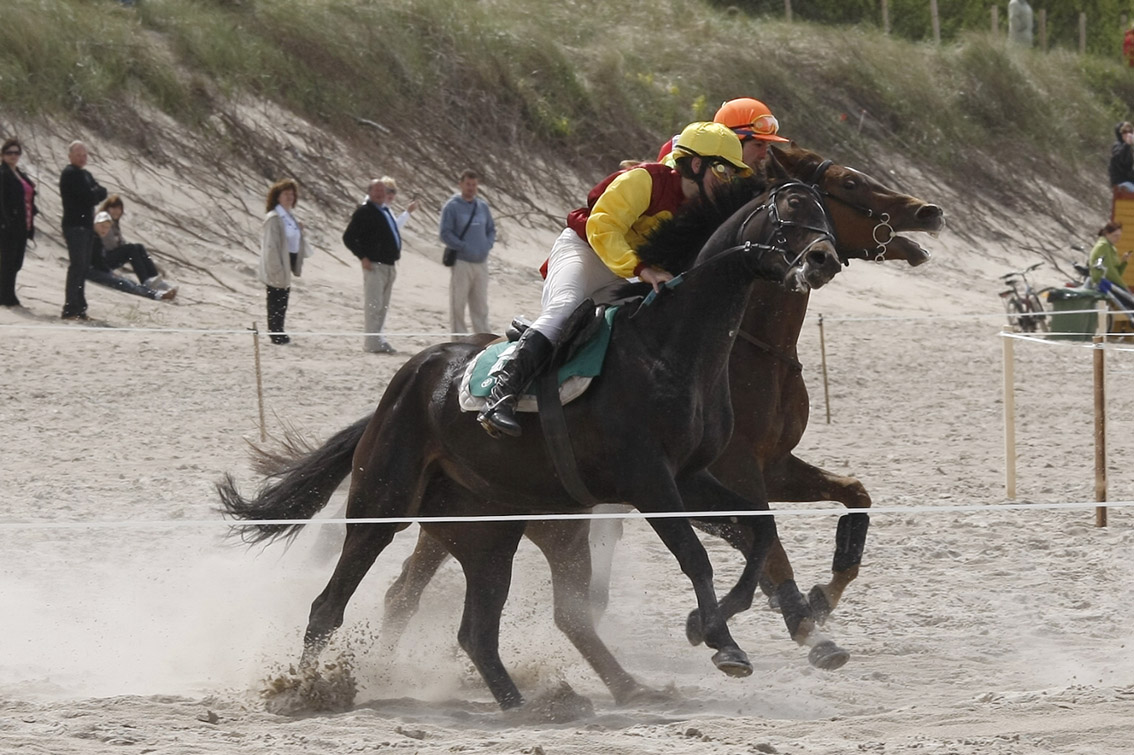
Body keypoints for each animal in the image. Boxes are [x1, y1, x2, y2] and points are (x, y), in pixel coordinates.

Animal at [218, 179, 843, 707]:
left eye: (827, 210)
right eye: (792, 208)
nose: (825, 259)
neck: (673, 344)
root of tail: (399, 390)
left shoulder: (691, 478)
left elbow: (760, 530)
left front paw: (715, 627)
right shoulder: (650, 482)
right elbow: (696, 555)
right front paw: (721, 641)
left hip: (495, 530)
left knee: (493, 625)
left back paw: (559, 698)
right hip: (383, 504)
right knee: (330, 605)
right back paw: (306, 690)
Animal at [376, 143, 943, 662]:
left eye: (828, 205)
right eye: (849, 182)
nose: (929, 211)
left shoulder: (768, 465)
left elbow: (850, 497)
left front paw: (819, 598)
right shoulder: (717, 473)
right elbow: (763, 546)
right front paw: (797, 627)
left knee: (411, 583)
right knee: (408, 584)